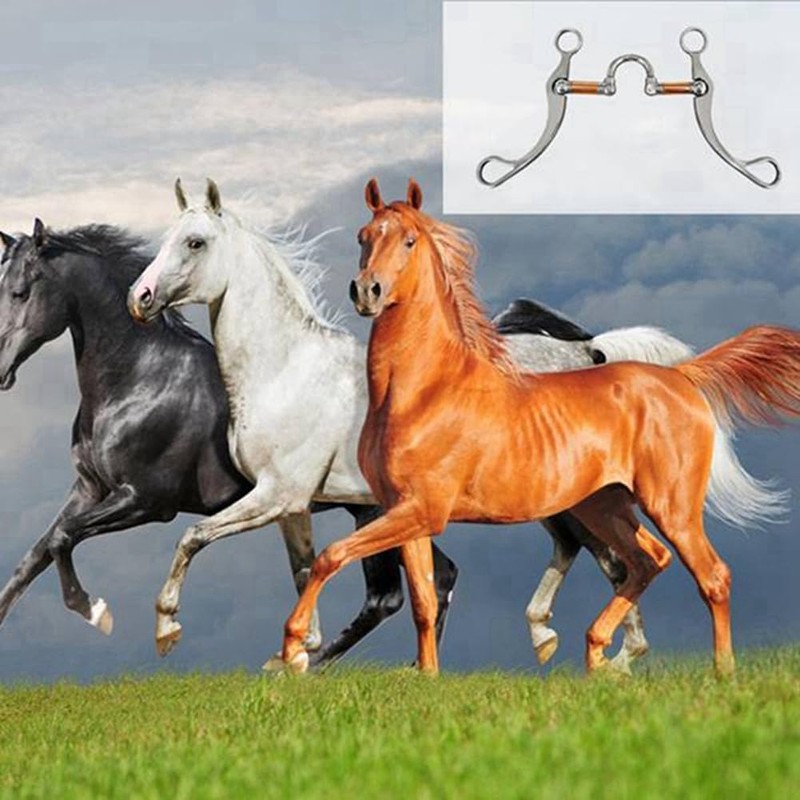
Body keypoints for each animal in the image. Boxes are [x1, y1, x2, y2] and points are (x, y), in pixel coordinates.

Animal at [127, 179, 759, 673]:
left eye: (195, 242)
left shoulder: (279, 495)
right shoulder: (294, 506)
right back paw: (585, 645)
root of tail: (592, 353)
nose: (141, 298)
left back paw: (601, 651)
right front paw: (297, 655)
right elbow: (305, 569)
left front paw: (167, 630)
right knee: (606, 557)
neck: (284, 367)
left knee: (610, 559)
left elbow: (193, 537)